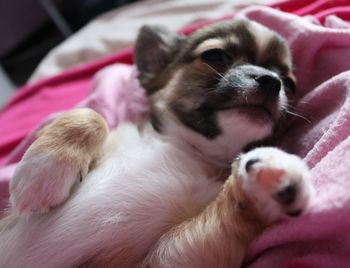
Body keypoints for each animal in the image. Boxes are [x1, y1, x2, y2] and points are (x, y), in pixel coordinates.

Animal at [0, 19, 314, 266]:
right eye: (215, 56)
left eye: (289, 84)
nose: (272, 81)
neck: (189, 148)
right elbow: (93, 115)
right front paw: (40, 171)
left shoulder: (170, 256)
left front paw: (265, 176)